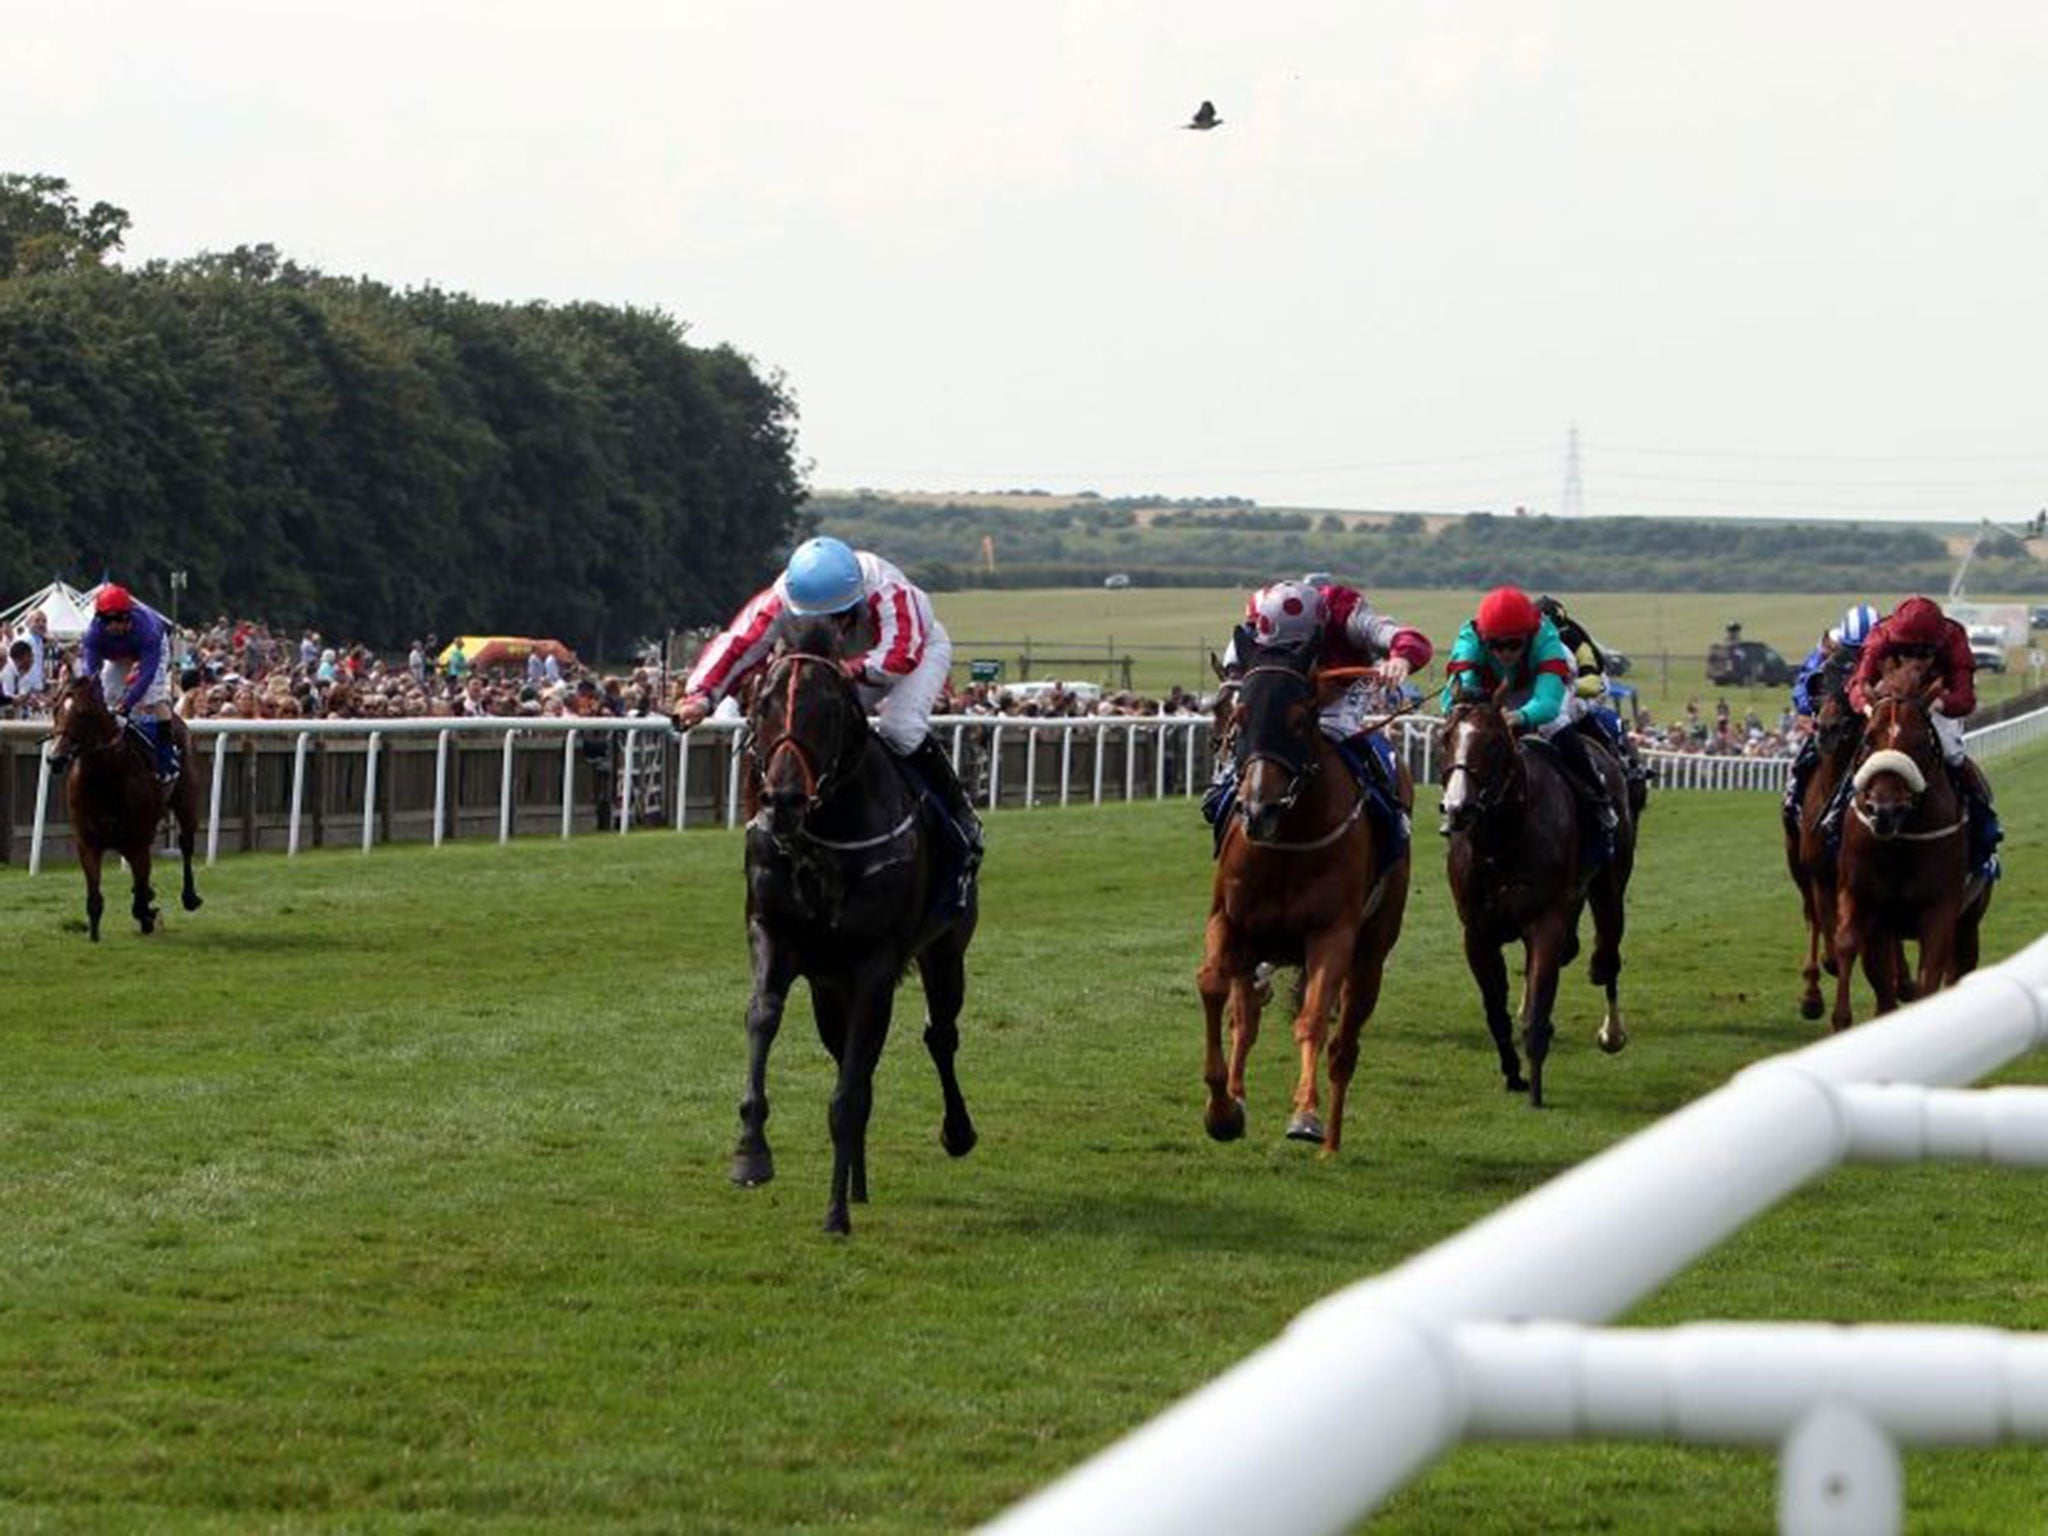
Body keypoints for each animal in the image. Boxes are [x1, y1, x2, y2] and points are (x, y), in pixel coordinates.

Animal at [49, 679, 202, 946]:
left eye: (83, 713)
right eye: (55, 708)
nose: (55, 758)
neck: (105, 776)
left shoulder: (137, 841)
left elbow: (140, 900)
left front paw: (148, 914)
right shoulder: (88, 842)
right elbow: (95, 897)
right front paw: (94, 935)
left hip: (187, 801)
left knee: (186, 844)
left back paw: (189, 896)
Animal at [729, 618, 974, 1236]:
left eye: (830, 709)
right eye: (761, 704)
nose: (783, 800)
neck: (823, 838)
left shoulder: (875, 964)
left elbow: (849, 1095)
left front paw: (835, 1214)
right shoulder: (774, 933)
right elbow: (763, 1016)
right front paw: (750, 1151)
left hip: (945, 951)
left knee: (939, 1036)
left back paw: (957, 1133)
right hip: (827, 985)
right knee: (848, 1056)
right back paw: (859, 1180)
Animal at [1196, 638, 1417, 1155]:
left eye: (1299, 719)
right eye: (1236, 715)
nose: (1258, 807)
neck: (1288, 841)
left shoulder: (1331, 933)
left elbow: (1314, 1018)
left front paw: (1305, 1114)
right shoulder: (1231, 924)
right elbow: (1216, 988)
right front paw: (1223, 1110)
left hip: (1371, 954)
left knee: (1344, 1046)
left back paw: (1331, 1141)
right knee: (1247, 1018)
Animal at [1433, 696, 1638, 1105]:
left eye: (1494, 743)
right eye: (1446, 737)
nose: (1458, 808)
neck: (1502, 842)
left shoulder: (1545, 922)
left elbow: (1540, 1006)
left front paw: (1536, 1090)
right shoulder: (1477, 932)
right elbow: (1496, 1008)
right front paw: (1513, 1073)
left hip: (1609, 884)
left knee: (1607, 957)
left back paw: (1612, 1031)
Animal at [1835, 663, 1990, 1036]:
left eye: (1920, 741)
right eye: (1868, 738)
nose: (1884, 811)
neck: (1902, 840)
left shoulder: (1940, 911)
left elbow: (1929, 979)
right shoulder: (1864, 901)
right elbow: (1847, 944)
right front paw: (1841, 1020)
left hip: (1970, 920)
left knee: (1959, 967)